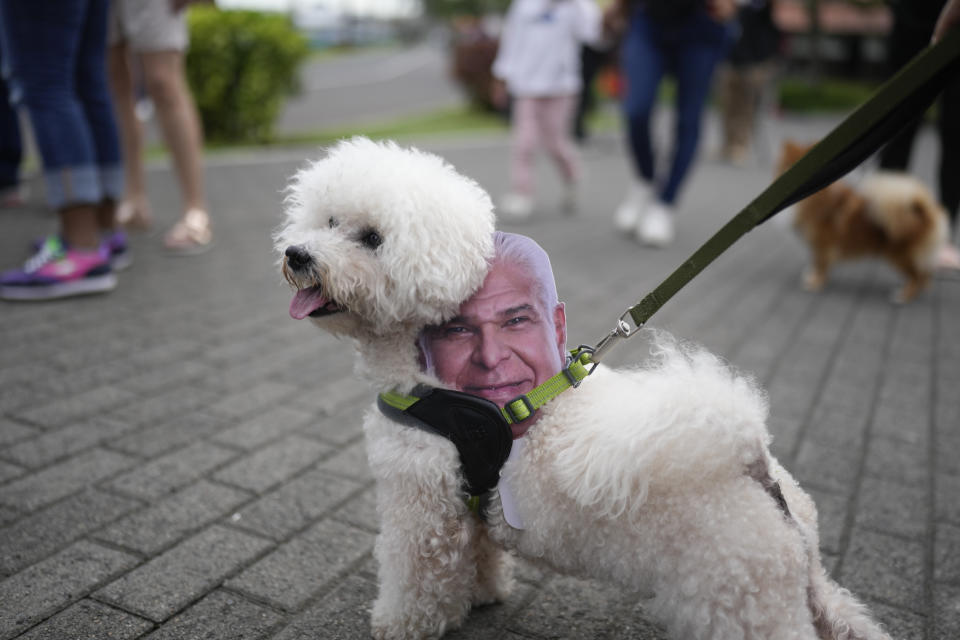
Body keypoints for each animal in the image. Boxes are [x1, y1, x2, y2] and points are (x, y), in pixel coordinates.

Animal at [274, 139, 896, 640]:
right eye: (326, 221)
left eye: (372, 238)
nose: (297, 255)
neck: (426, 376)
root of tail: (753, 464)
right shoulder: (464, 510)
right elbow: (478, 555)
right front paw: (484, 594)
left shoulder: (420, 507)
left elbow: (415, 579)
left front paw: (399, 624)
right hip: (798, 584)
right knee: (845, 618)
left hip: (736, 601)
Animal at [780, 140, 952, 302]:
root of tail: (926, 212)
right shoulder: (817, 246)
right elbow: (815, 263)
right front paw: (811, 275)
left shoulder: (822, 245)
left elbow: (820, 264)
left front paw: (815, 282)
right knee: (925, 276)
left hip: (900, 257)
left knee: (919, 276)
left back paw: (903, 296)